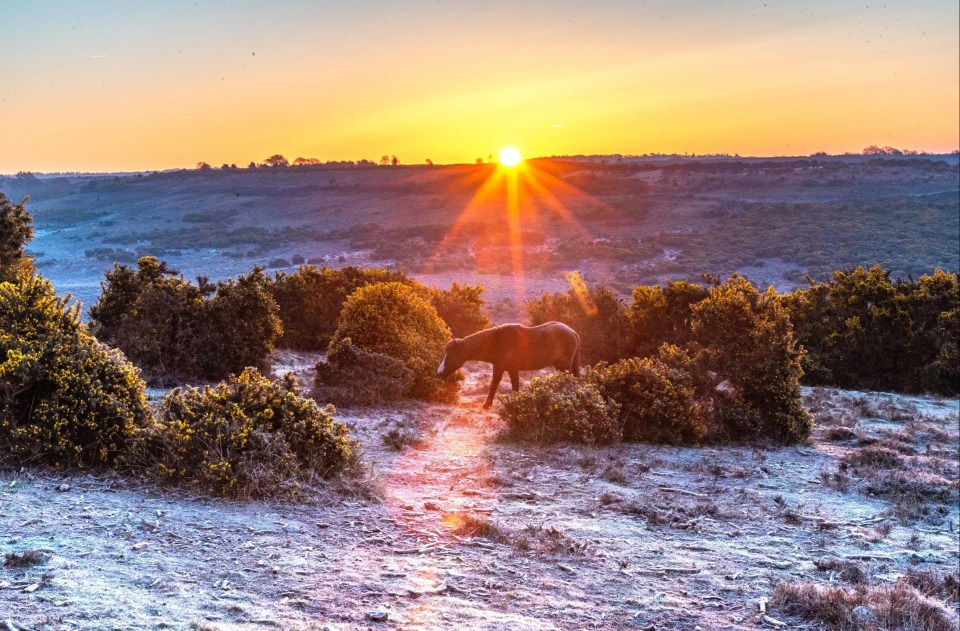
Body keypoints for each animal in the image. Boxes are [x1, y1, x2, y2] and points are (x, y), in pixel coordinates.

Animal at [438, 320, 580, 410]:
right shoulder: (499, 368)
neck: (498, 341)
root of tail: (573, 332)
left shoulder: (512, 370)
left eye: (449, 356)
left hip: (564, 366)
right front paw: (487, 404)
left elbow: (514, 387)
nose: (439, 373)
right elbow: (494, 385)